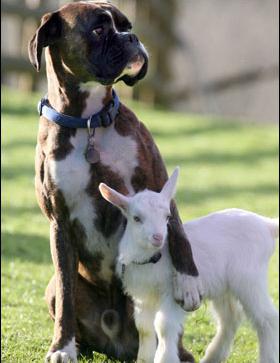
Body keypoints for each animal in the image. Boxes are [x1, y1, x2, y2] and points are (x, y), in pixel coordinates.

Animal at [28, 1, 202, 362]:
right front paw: (62, 347)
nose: (132, 38)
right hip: (53, 289)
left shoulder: (158, 182)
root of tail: (117, 343)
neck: (88, 123)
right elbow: (66, 292)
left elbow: (178, 232)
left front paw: (188, 282)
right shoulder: (59, 222)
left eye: (126, 25)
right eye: (98, 29)